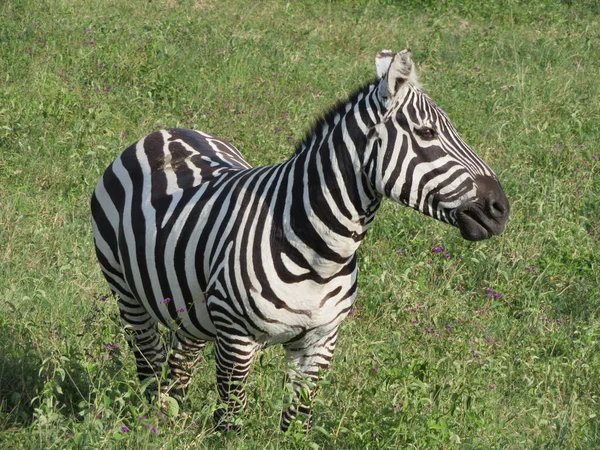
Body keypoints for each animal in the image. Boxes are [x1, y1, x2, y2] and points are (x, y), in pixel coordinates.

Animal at [91, 49, 508, 432]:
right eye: (426, 133)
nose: (501, 208)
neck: (321, 251)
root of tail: (163, 132)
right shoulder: (236, 338)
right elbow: (231, 421)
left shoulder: (320, 342)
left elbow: (298, 423)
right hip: (127, 294)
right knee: (149, 363)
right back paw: (152, 422)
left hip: (191, 308)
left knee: (178, 365)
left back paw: (170, 417)